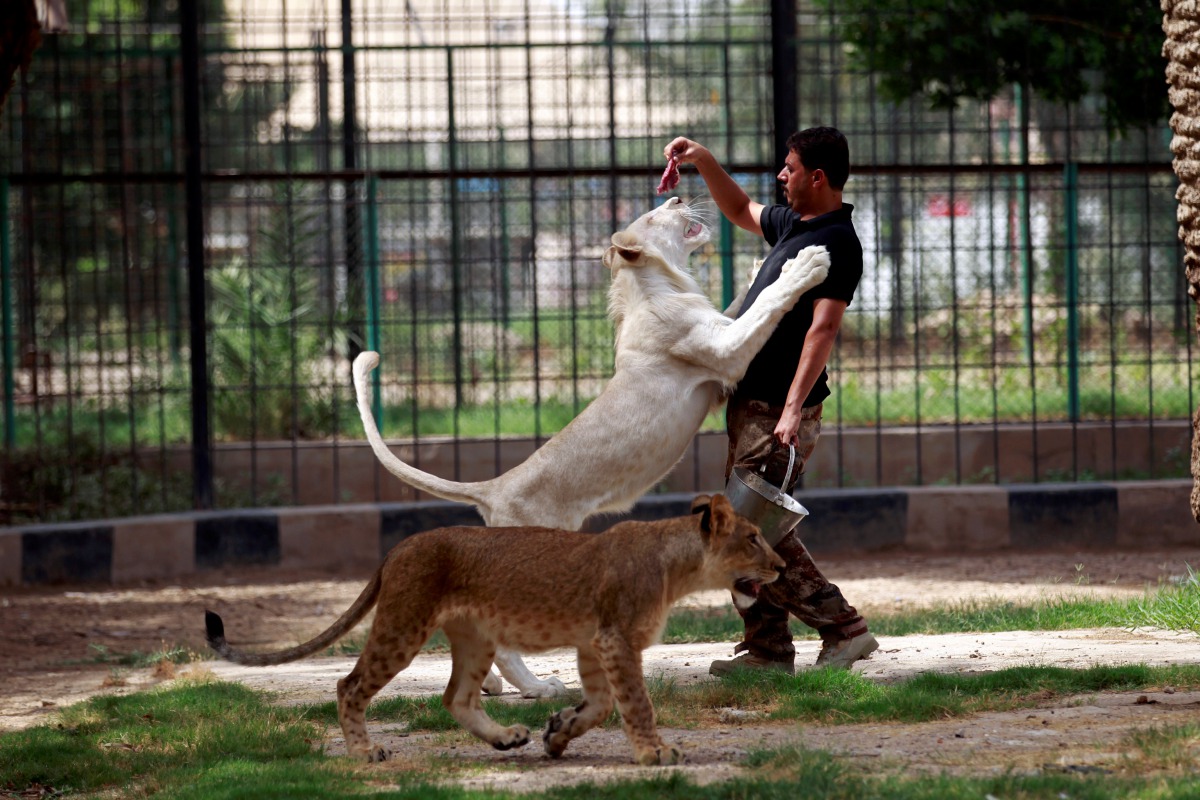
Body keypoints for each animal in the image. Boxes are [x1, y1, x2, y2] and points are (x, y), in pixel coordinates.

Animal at [206, 494, 785, 766]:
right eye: (754, 538)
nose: (781, 566)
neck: (677, 567)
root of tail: (398, 546)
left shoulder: (593, 642)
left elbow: (599, 706)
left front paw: (558, 733)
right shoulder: (615, 638)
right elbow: (635, 704)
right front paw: (654, 753)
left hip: (474, 637)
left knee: (457, 697)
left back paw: (507, 738)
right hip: (403, 624)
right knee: (350, 685)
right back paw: (365, 752)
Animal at [353, 195, 829, 698]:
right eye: (658, 211)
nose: (679, 196)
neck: (659, 283)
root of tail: (496, 488)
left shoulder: (720, 338)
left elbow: (741, 304)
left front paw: (758, 265)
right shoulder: (724, 355)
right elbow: (764, 306)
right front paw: (805, 264)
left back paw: (495, 685)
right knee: (503, 638)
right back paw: (538, 687)